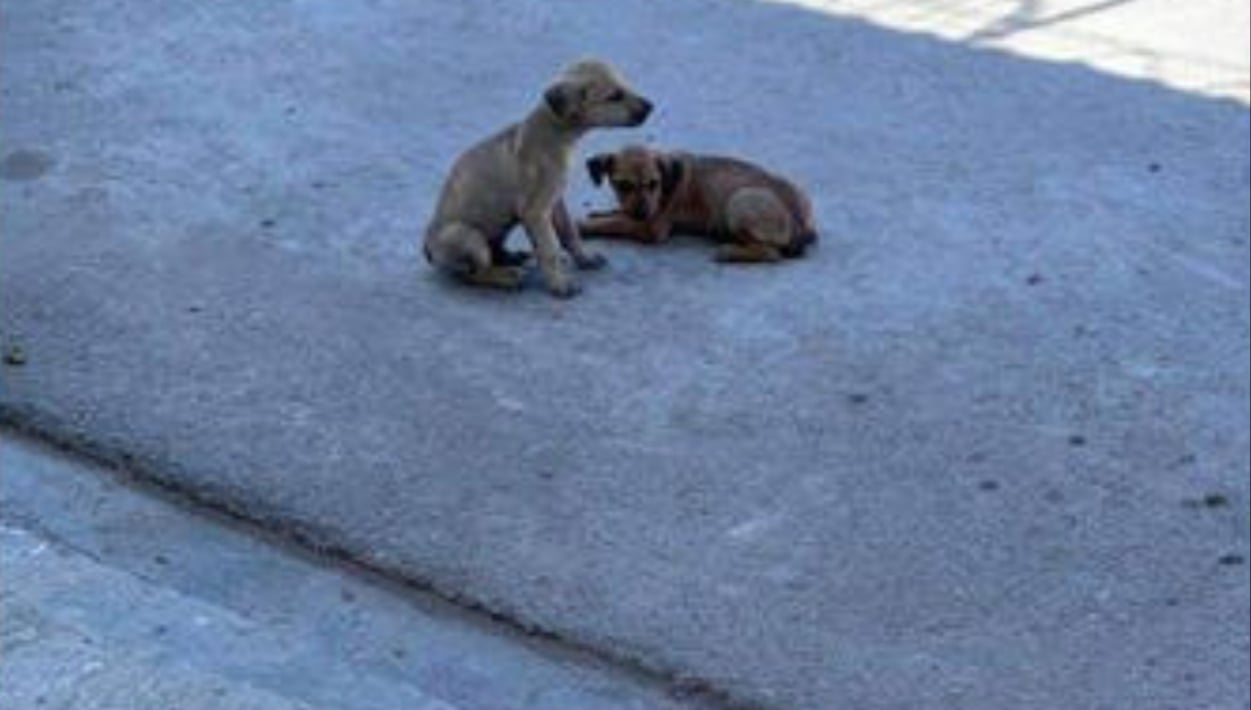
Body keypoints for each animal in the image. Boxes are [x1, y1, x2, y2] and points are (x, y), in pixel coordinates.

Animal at [422, 57, 655, 296]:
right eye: (615, 96)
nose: (651, 106)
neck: (556, 132)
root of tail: (428, 250)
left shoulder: (555, 201)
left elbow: (569, 233)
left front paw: (585, 259)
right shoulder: (535, 212)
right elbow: (549, 249)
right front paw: (560, 284)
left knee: (493, 250)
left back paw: (511, 257)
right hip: (467, 236)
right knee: (472, 274)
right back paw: (505, 277)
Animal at [577, 145, 815, 263]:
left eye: (654, 183)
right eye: (623, 185)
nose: (642, 213)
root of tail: (800, 225)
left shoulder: (652, 228)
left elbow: (616, 223)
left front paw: (585, 226)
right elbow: (618, 214)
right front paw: (600, 213)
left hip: (739, 201)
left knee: (771, 254)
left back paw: (729, 251)